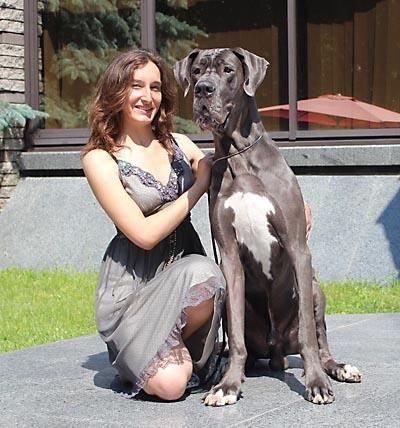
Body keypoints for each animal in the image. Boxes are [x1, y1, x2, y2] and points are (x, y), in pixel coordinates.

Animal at [174, 48, 361, 406]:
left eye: (228, 70)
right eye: (197, 71)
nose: (203, 89)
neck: (239, 157)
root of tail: (278, 352)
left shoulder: (298, 247)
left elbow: (309, 335)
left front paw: (316, 383)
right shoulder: (229, 257)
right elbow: (234, 336)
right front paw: (229, 386)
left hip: (315, 289)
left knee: (319, 342)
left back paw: (338, 367)